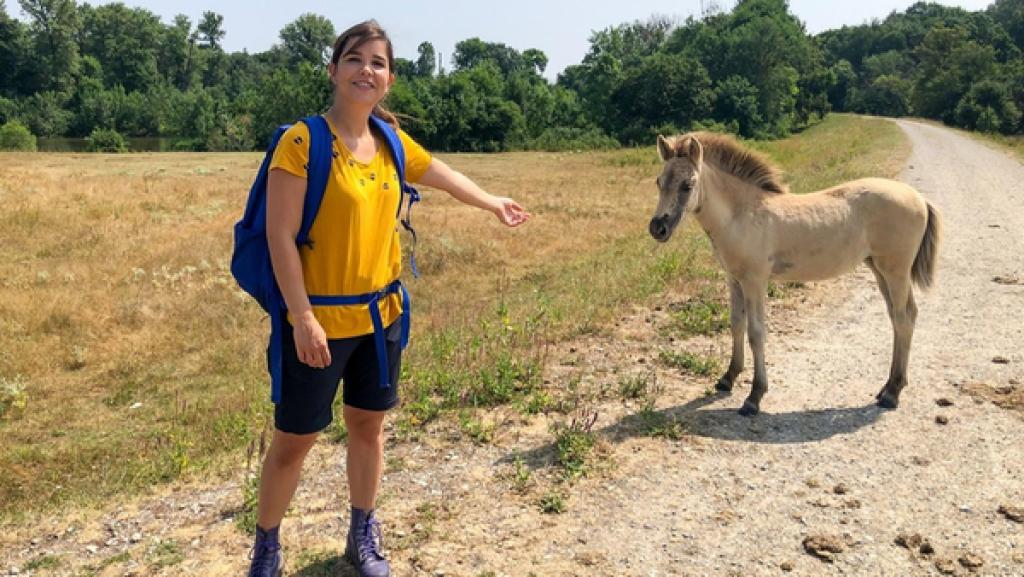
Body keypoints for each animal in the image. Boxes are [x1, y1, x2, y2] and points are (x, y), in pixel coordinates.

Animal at [649, 132, 941, 416]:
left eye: (688, 185)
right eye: (659, 181)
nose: (657, 228)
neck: (742, 213)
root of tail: (918, 197)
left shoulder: (755, 281)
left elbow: (756, 332)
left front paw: (754, 397)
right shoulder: (734, 279)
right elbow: (736, 324)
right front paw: (728, 378)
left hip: (896, 271)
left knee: (903, 318)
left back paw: (892, 393)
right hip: (880, 270)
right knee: (900, 316)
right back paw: (887, 387)